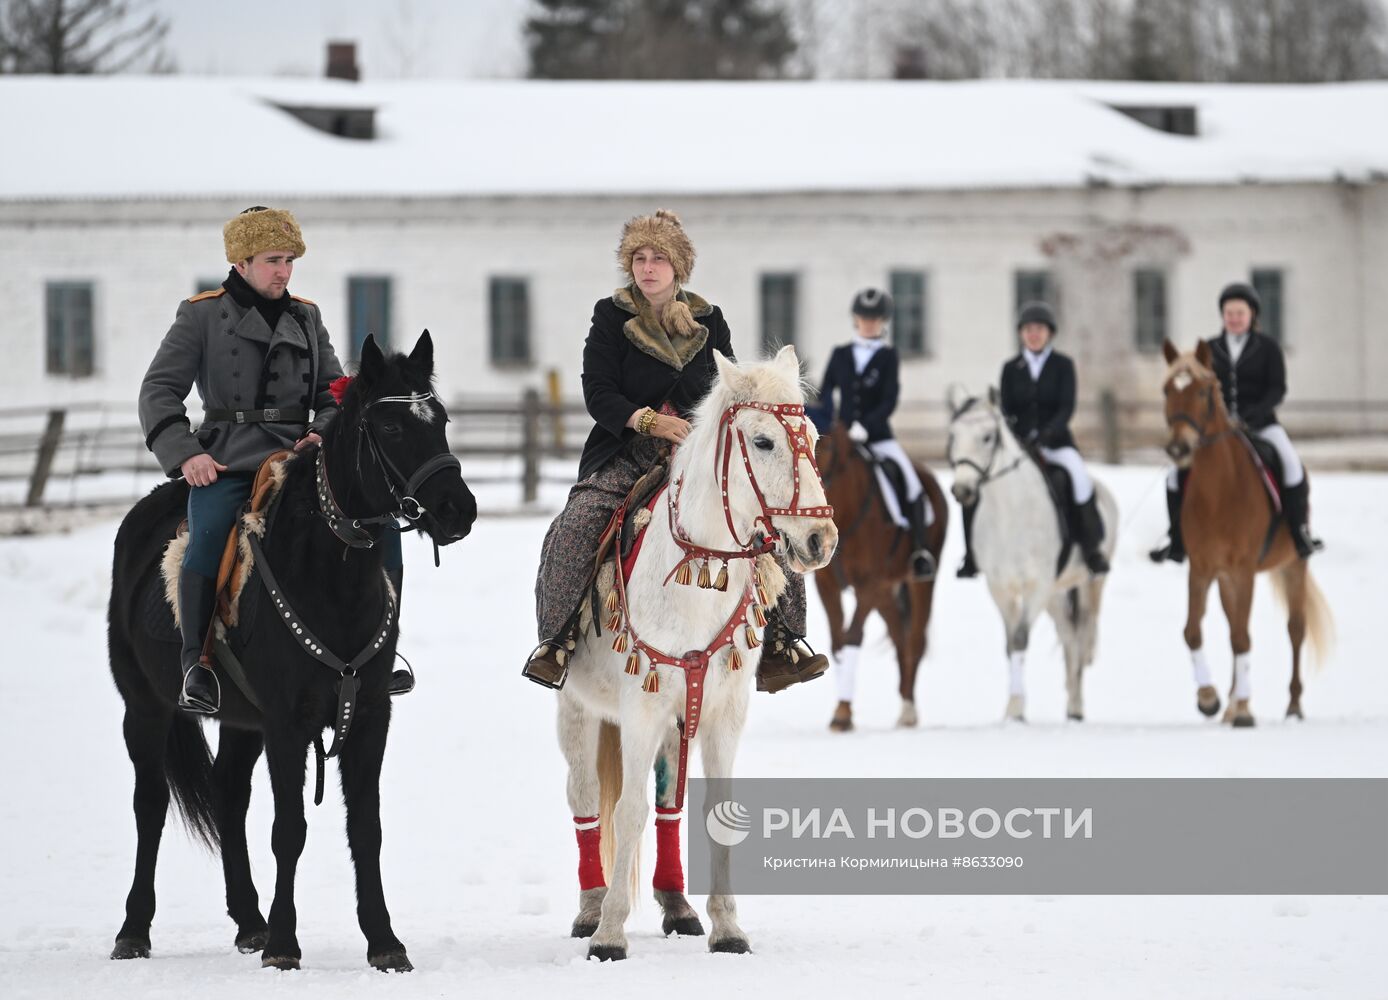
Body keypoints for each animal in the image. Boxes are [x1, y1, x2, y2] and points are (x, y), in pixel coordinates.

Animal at [106, 333, 477, 966]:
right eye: (392, 426)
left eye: (442, 420)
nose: (459, 509)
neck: (331, 578)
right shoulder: (286, 723)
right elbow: (290, 830)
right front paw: (284, 942)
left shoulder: (369, 717)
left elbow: (366, 829)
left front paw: (383, 941)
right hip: (145, 708)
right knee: (149, 805)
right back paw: (135, 928)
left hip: (239, 722)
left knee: (228, 795)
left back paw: (247, 920)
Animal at [552, 345, 832, 961]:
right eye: (763, 441)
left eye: (813, 437)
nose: (820, 541)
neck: (695, 575)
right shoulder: (640, 709)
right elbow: (627, 810)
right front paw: (610, 935)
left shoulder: (723, 710)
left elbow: (711, 812)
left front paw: (728, 928)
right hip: (577, 709)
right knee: (585, 798)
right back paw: (590, 908)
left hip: (680, 718)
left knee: (667, 804)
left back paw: (677, 906)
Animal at [810, 416, 949, 727]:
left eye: (824, 445)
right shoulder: (826, 584)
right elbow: (838, 643)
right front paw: (842, 710)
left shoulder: (870, 583)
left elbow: (852, 637)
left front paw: (843, 714)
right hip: (886, 592)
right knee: (899, 637)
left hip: (921, 581)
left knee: (915, 640)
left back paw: (909, 711)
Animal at [943, 386, 1115, 722]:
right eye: (954, 435)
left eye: (988, 437)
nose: (963, 491)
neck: (1009, 514)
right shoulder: (999, 588)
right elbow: (1011, 645)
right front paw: (1012, 709)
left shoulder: (1037, 585)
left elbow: (1021, 639)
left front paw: (1017, 710)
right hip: (1056, 594)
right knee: (1069, 636)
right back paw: (1071, 707)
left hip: (1090, 585)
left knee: (1082, 633)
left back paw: (1077, 707)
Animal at [1160, 340, 1332, 722]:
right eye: (1166, 390)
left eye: (1204, 390)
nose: (1179, 449)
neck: (1218, 491)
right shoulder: (1202, 568)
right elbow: (1193, 631)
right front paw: (1210, 698)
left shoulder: (1244, 570)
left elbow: (1243, 638)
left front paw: (1239, 710)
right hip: (1226, 579)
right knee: (1233, 627)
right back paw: (1232, 701)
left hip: (1294, 564)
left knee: (1294, 629)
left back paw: (1290, 705)